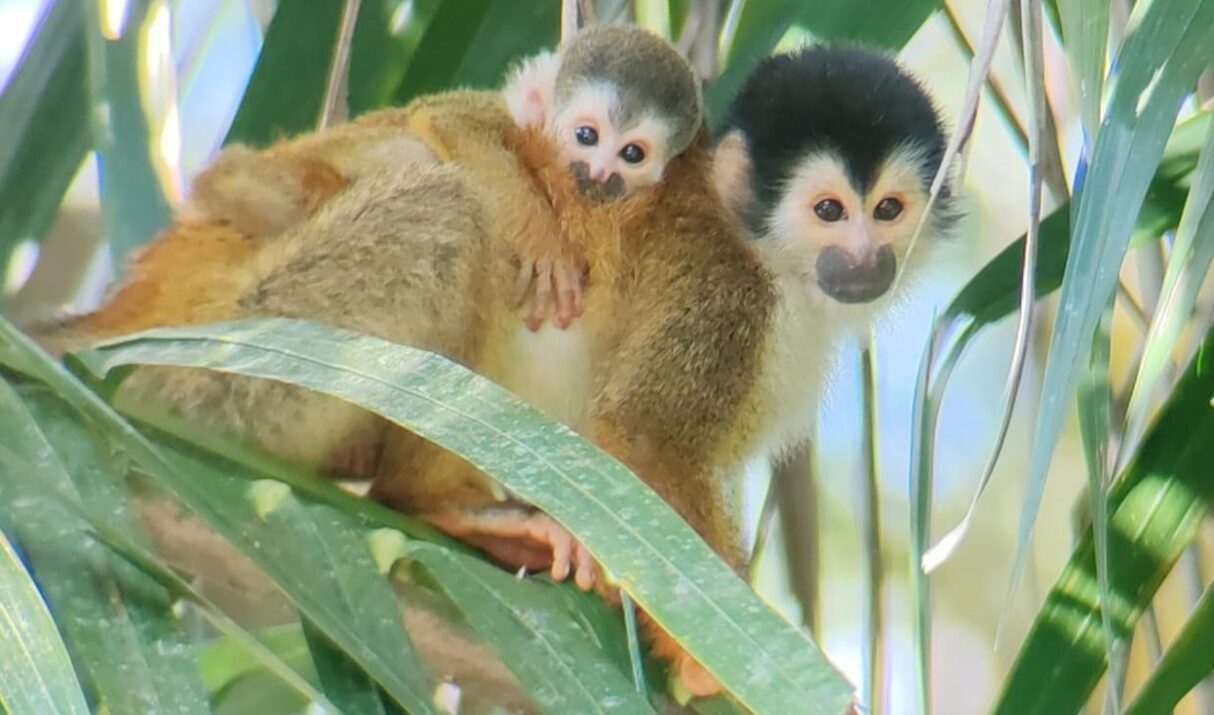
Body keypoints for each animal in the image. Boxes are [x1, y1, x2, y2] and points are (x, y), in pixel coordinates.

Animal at [31, 43, 955, 701]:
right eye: (829, 210)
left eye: (888, 210)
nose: (865, 260)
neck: (773, 260)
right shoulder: (723, 294)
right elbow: (646, 443)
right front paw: (720, 660)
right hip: (234, 337)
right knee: (449, 205)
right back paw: (424, 496)